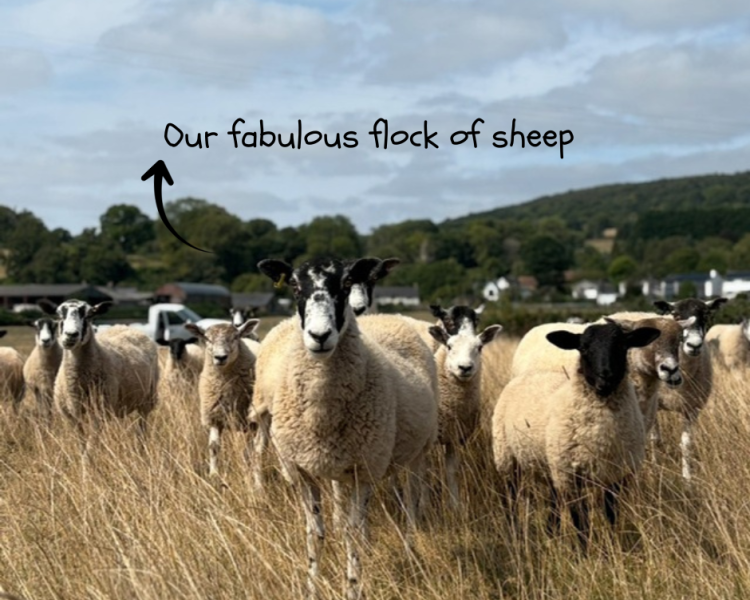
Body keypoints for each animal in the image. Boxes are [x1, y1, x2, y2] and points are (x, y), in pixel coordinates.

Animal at [53, 300, 159, 447]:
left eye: (89, 315)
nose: (71, 335)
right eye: (58, 315)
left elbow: (91, 444)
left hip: (147, 398)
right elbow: (80, 443)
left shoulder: (99, 412)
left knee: (141, 426)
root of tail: (124, 326)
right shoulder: (70, 416)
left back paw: (141, 447)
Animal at [185, 320, 260, 478]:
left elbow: (248, 449)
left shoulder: (249, 421)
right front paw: (213, 474)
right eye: (207, 338)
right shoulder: (214, 416)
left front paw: (248, 471)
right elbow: (213, 447)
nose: (220, 357)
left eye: (235, 337)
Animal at [255, 256, 438, 600]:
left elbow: (352, 533)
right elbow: (316, 533)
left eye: (346, 283)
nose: (319, 335)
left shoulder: (364, 470)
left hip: (417, 452)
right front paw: (312, 586)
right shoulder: (302, 469)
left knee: (412, 505)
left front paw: (353, 586)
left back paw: (410, 553)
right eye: (294, 286)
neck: (321, 410)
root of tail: (384, 317)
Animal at [492, 320, 661, 549]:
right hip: (507, 458)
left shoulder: (614, 474)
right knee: (511, 499)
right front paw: (585, 552)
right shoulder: (571, 476)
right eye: (583, 348)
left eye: (622, 346)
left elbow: (611, 515)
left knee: (553, 502)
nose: (605, 378)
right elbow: (580, 520)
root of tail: (527, 375)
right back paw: (516, 536)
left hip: (551, 465)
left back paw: (551, 534)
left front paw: (612, 547)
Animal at [652, 297, 727, 481]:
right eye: (676, 315)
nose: (694, 345)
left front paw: (687, 479)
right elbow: (655, 439)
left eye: (706, 315)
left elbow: (687, 444)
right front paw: (655, 471)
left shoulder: (691, 408)